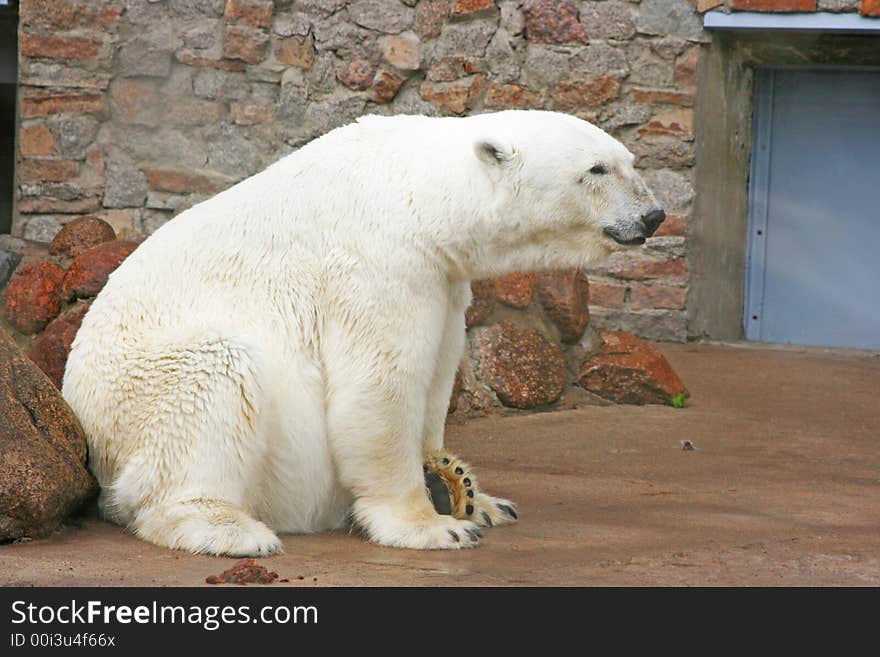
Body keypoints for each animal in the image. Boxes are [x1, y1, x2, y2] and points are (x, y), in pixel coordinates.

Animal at [62, 111, 664, 552]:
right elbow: (379, 385)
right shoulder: (378, 263)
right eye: (596, 170)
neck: (419, 193)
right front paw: (434, 525)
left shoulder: (445, 280)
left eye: (631, 161)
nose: (654, 215)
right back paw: (231, 530)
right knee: (212, 379)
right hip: (142, 391)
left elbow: (437, 378)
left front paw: (481, 499)